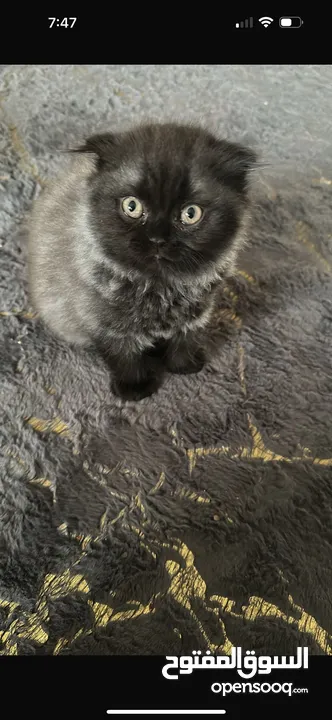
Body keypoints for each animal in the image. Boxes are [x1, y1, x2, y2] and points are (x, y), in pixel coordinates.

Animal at [27, 121, 256, 402]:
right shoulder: (104, 319)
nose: (158, 239)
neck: (162, 288)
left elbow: (186, 338)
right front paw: (135, 389)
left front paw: (185, 366)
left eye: (191, 213)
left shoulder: (197, 311)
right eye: (132, 206)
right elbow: (124, 355)